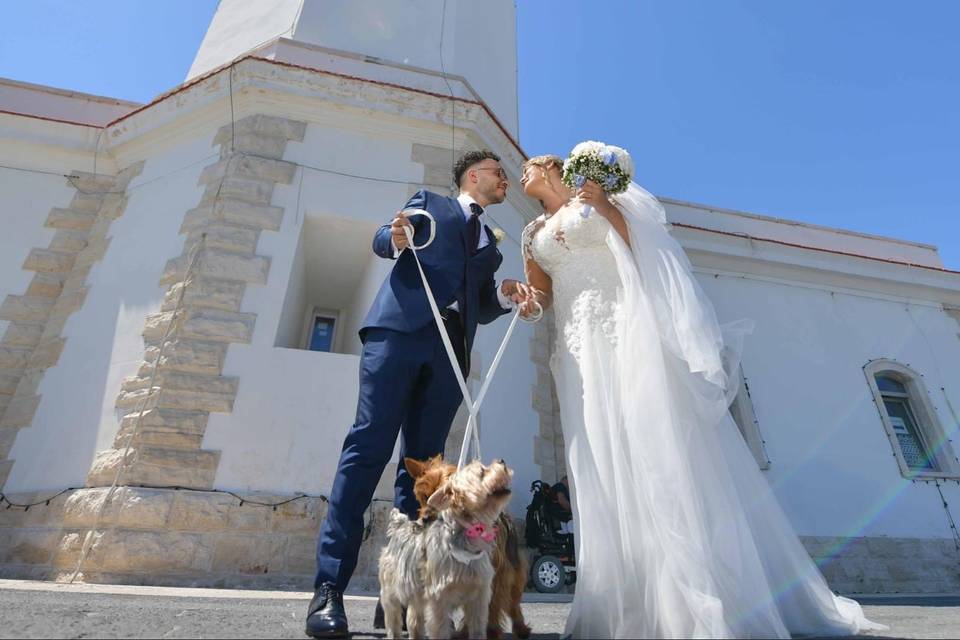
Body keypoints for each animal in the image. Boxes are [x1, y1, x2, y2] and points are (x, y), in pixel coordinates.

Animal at [402, 456, 528, 640]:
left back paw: (519, 628)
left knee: (512, 600)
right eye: (424, 496)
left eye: (443, 493)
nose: (424, 519)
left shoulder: (494, 573)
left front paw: (491, 630)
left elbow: (492, 603)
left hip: (512, 567)